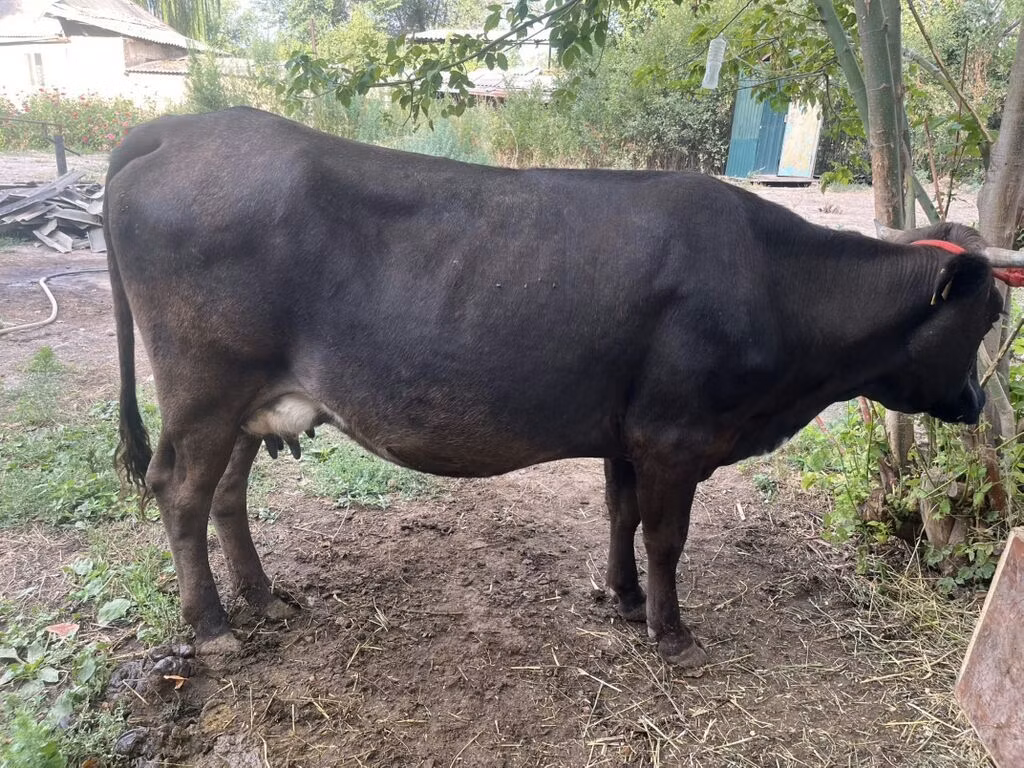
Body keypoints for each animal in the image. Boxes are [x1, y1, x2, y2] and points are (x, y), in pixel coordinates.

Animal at [104, 106, 1016, 669]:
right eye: (989, 315)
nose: (976, 405)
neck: (776, 288)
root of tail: (174, 129)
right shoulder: (676, 435)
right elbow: (667, 537)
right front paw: (671, 631)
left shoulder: (628, 431)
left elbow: (621, 517)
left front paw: (622, 599)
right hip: (204, 387)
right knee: (179, 490)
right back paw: (213, 629)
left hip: (248, 402)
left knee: (225, 494)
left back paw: (262, 599)